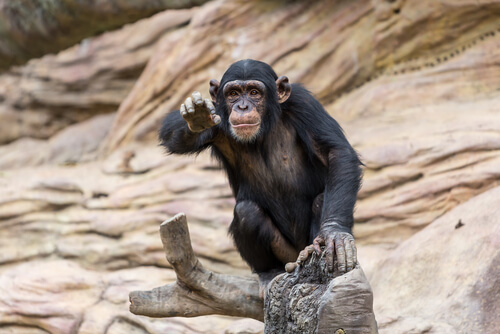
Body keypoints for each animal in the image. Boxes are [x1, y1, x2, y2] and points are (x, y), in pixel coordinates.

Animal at [162, 60, 362, 290]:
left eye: (254, 92)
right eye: (233, 93)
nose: (242, 107)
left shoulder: (304, 103)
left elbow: (336, 152)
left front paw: (334, 233)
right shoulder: (218, 116)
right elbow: (174, 137)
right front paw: (197, 116)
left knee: (321, 200)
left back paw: (309, 250)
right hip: (285, 254)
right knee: (247, 212)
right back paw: (269, 272)